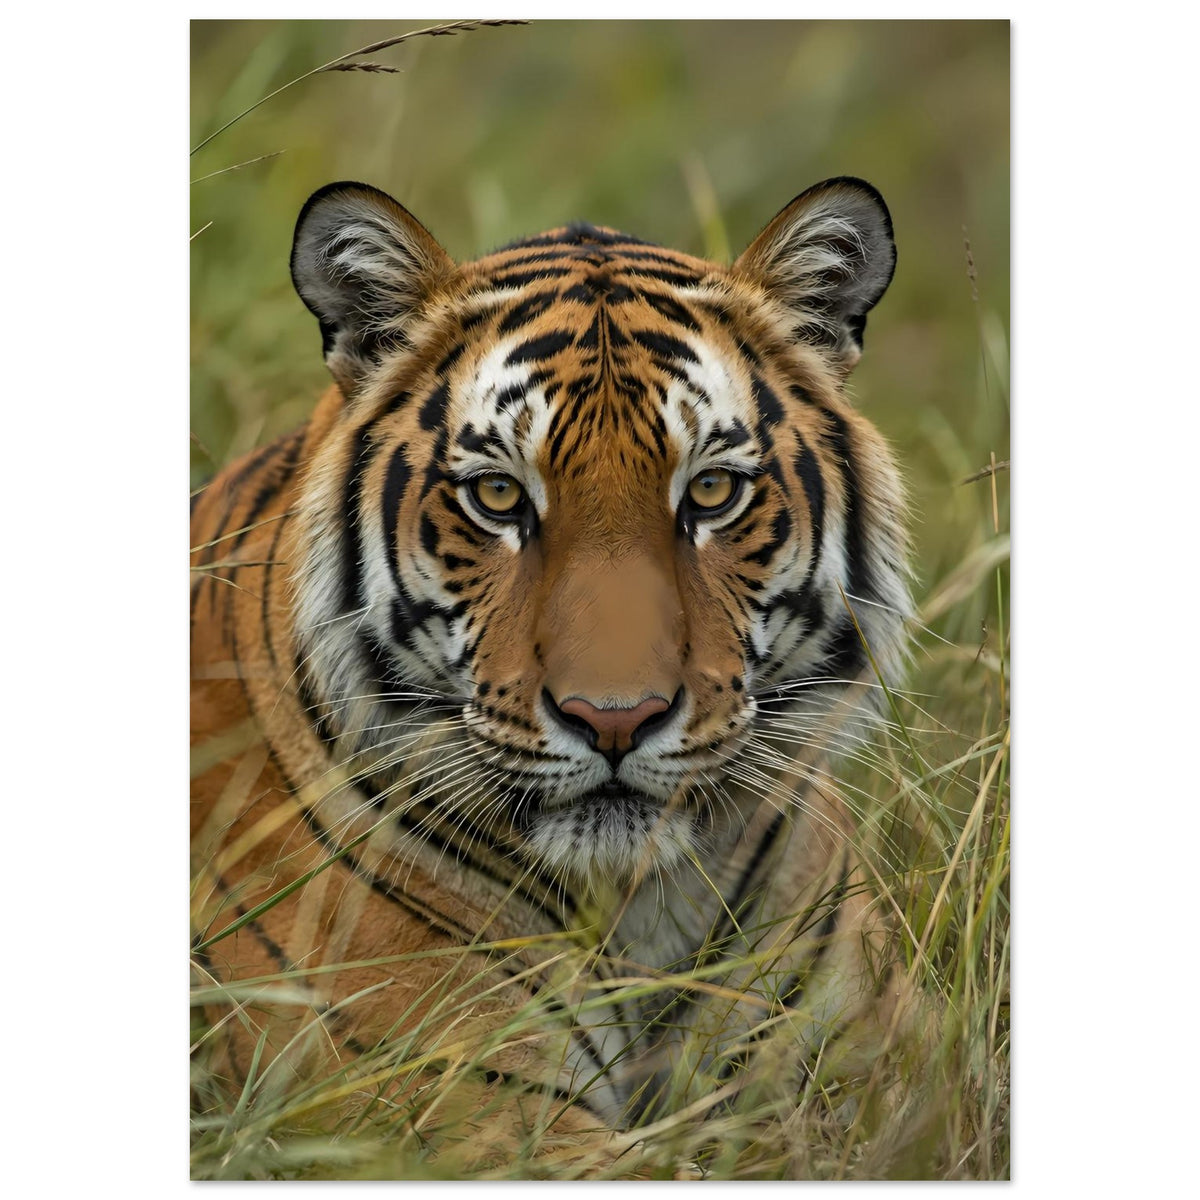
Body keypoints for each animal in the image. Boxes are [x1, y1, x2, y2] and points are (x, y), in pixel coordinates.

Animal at [190, 175, 922, 1172]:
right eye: (499, 496)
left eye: (711, 492)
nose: (616, 719)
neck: (640, 909)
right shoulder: (465, 1111)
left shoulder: (877, 1063)